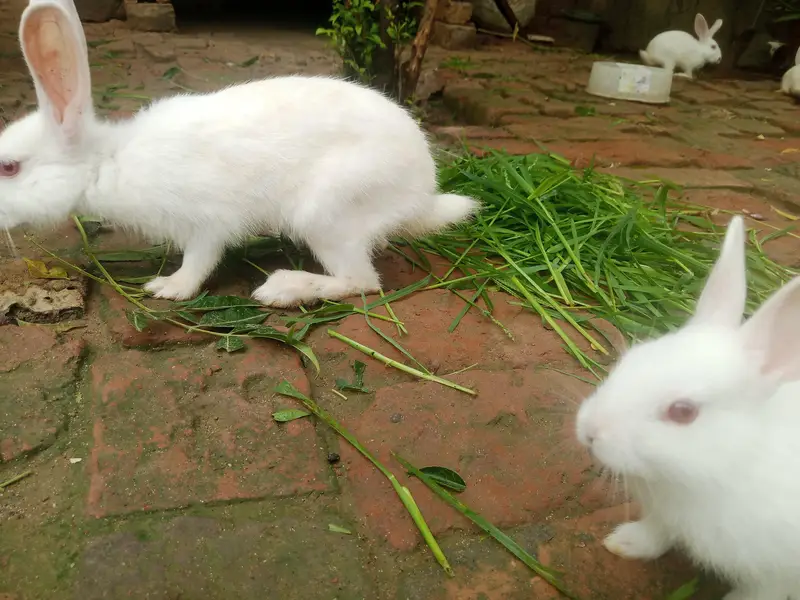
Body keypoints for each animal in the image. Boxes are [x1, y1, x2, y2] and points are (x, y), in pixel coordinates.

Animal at [0, 0, 479, 308]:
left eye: (9, 167)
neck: (108, 162)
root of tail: (420, 195)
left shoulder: (207, 221)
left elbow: (200, 260)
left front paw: (167, 288)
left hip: (326, 213)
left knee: (361, 281)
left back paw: (281, 290)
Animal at [576, 214, 800, 600]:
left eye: (683, 412)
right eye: (634, 357)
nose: (590, 431)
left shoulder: (775, 575)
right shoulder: (664, 515)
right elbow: (656, 533)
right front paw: (624, 543)